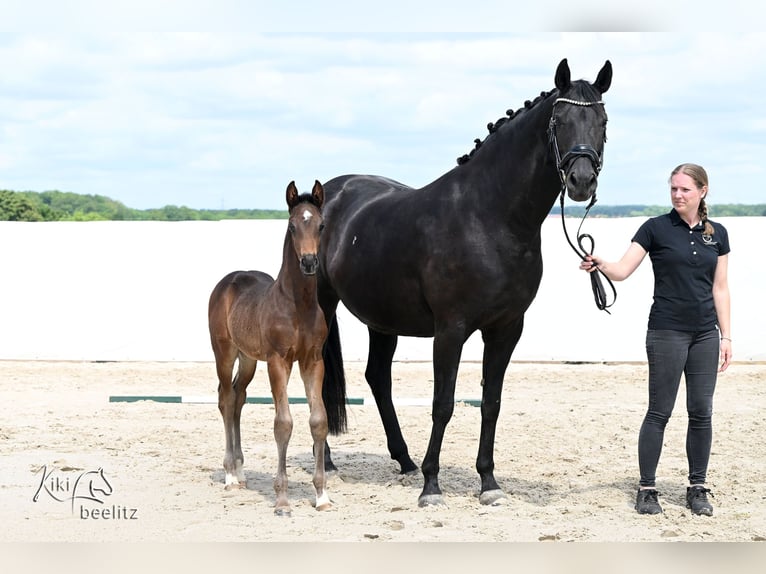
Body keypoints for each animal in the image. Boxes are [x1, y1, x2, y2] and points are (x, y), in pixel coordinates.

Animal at [208, 180, 347, 516]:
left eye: (321, 225)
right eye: (292, 225)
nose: (308, 262)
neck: (297, 306)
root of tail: (228, 281)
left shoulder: (313, 361)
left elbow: (318, 421)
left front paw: (322, 496)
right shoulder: (277, 362)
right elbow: (283, 423)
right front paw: (282, 500)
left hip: (247, 359)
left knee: (238, 398)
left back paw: (241, 471)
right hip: (224, 353)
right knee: (226, 398)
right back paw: (230, 475)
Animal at [317, 58, 612, 506]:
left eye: (602, 121)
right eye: (559, 121)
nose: (581, 181)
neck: (489, 218)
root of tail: (328, 193)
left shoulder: (506, 329)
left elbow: (491, 402)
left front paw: (488, 482)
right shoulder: (451, 330)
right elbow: (444, 403)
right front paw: (431, 486)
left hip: (383, 321)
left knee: (378, 378)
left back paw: (403, 460)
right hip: (320, 305)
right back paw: (331, 461)